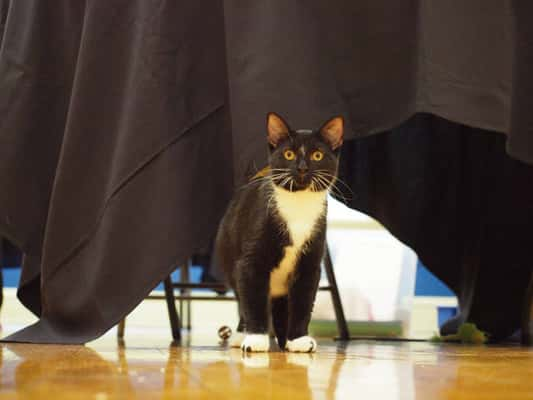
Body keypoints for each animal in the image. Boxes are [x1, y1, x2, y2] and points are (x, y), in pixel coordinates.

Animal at [214, 112, 342, 354]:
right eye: (288, 154)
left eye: (318, 155)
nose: (302, 168)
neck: (298, 207)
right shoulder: (250, 262)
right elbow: (252, 299)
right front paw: (255, 338)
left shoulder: (310, 263)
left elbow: (303, 301)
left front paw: (298, 339)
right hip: (228, 255)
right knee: (242, 296)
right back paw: (241, 333)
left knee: (281, 305)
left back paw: (283, 338)